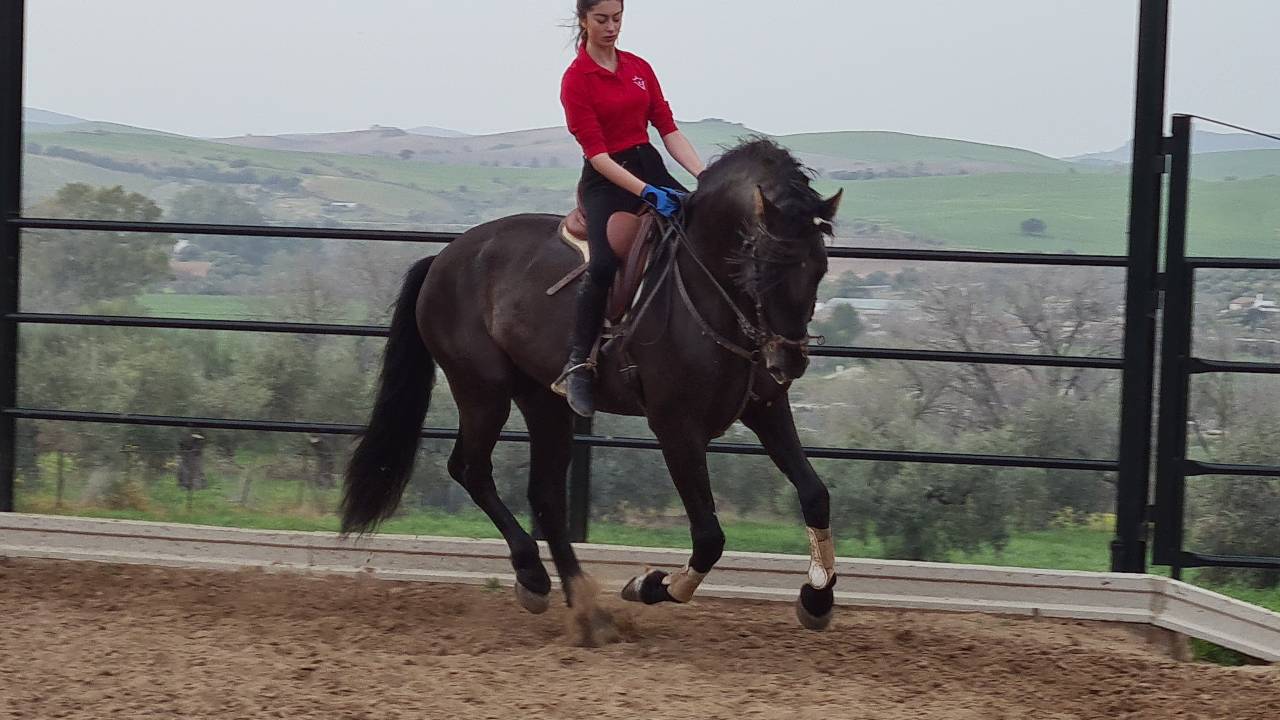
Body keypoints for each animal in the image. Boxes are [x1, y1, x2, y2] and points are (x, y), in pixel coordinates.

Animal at [340, 138, 844, 630]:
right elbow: (709, 537)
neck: (709, 290)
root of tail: (444, 256)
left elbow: (815, 494)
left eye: (820, 267)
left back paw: (587, 609)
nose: (788, 359)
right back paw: (534, 577)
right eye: (762, 265)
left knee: (544, 495)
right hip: (482, 391)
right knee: (471, 470)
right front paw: (649, 585)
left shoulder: (765, 408)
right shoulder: (676, 427)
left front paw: (817, 598)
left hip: (544, 401)